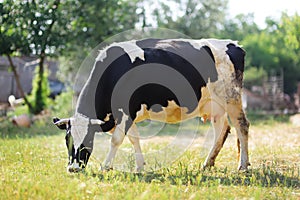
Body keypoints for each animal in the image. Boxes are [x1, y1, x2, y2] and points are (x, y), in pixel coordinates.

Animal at [52, 38, 250, 173]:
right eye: (67, 139)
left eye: (88, 140)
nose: (73, 168)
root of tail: (234, 45)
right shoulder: (128, 114)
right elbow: (134, 138)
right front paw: (139, 167)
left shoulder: (125, 111)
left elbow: (116, 139)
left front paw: (106, 167)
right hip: (214, 105)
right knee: (221, 130)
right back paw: (207, 163)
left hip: (231, 98)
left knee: (242, 126)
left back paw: (242, 166)